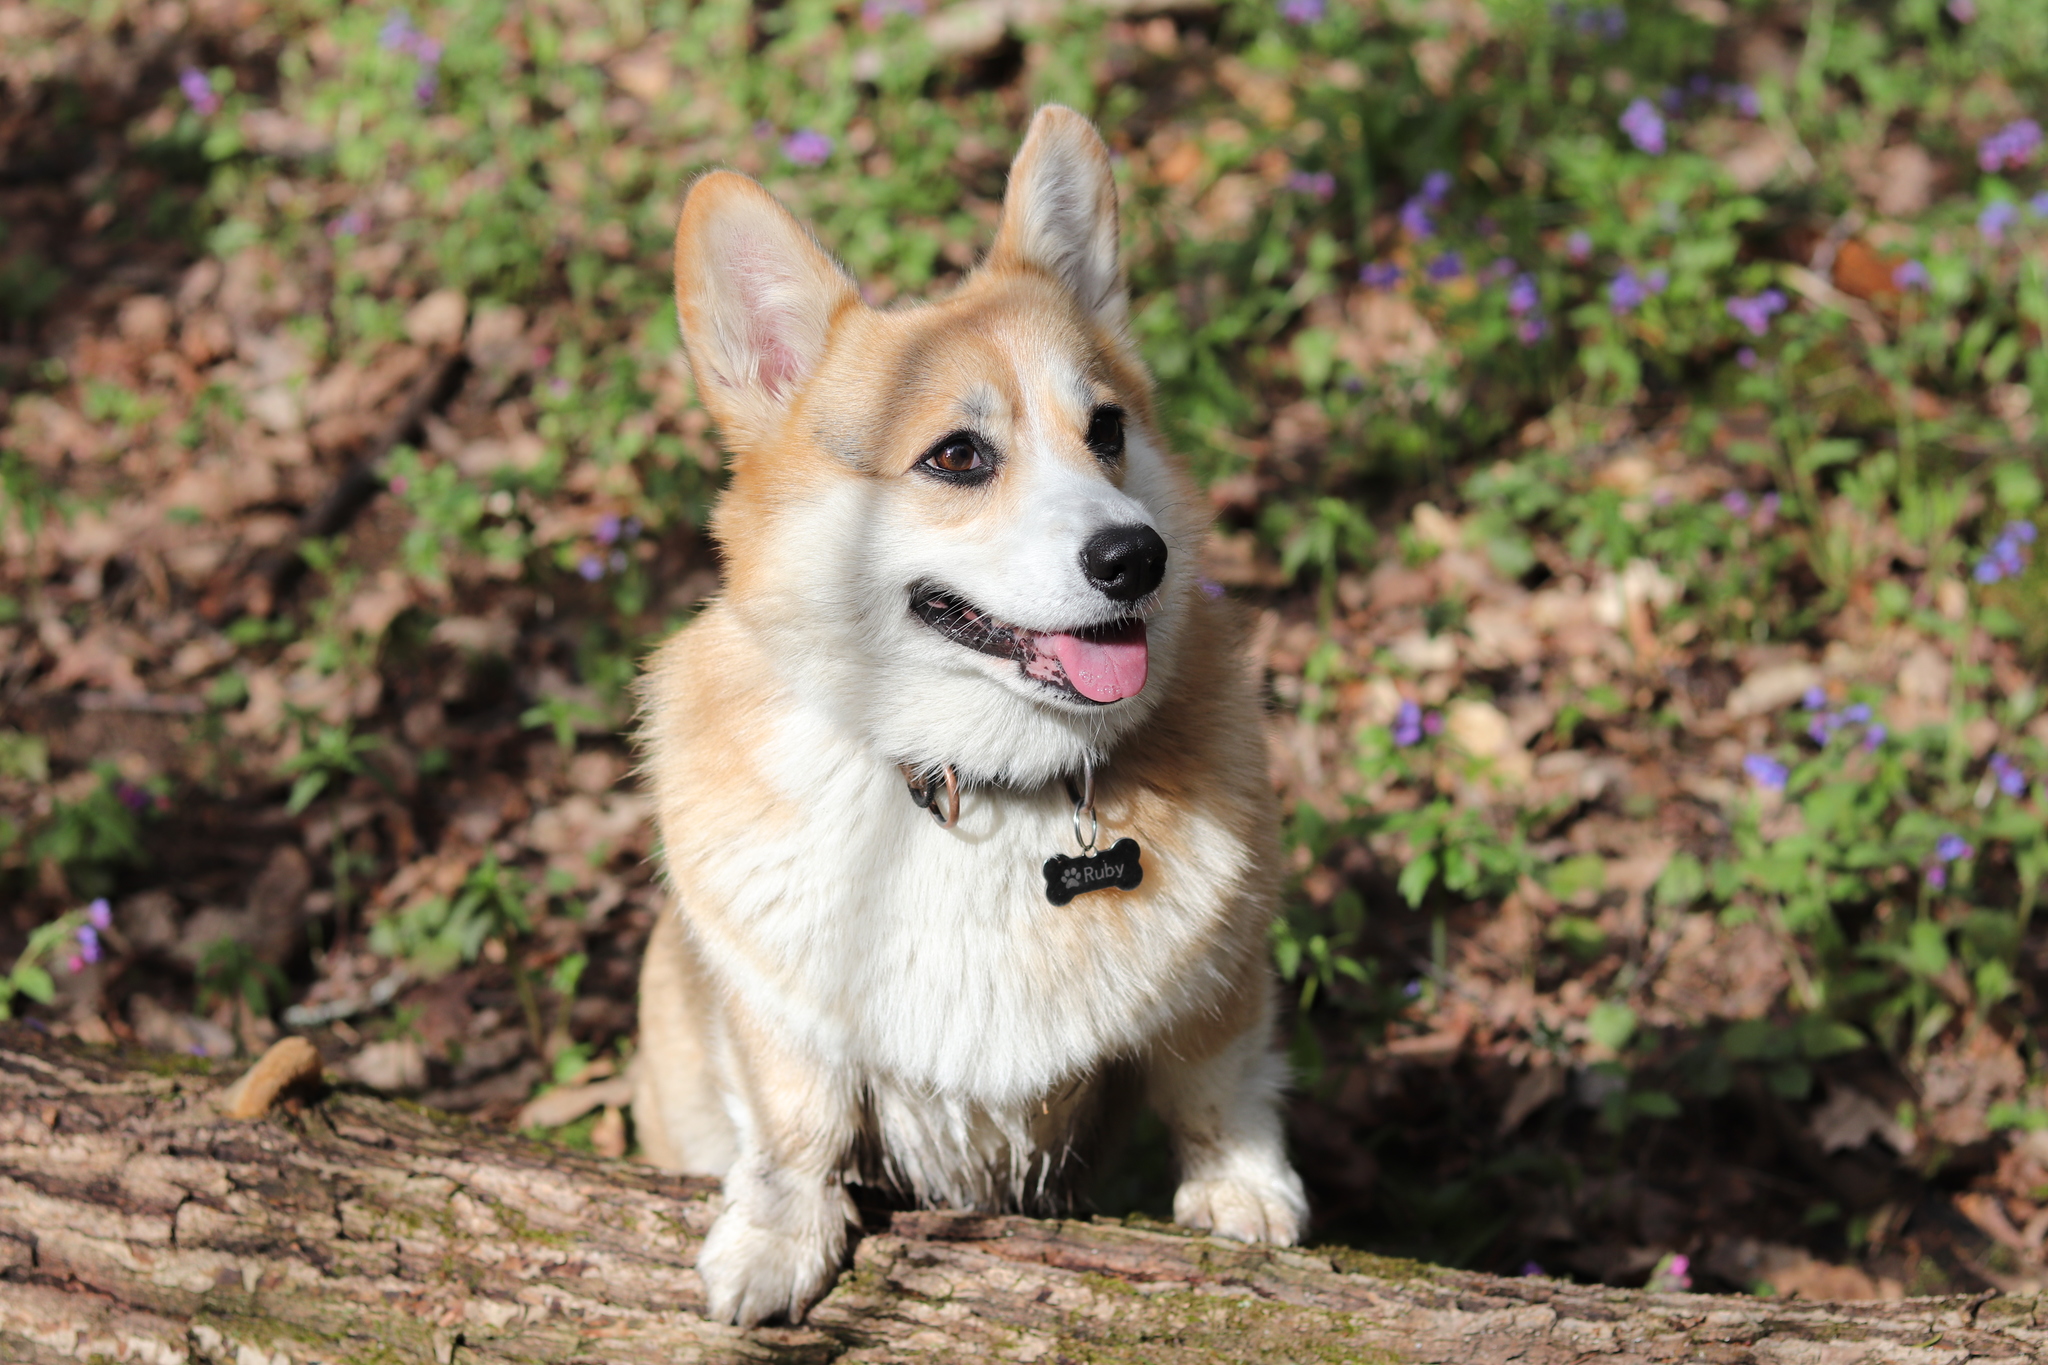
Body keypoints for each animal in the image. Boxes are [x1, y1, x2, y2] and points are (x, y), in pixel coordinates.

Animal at [638, 104, 1302, 1326]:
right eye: (956, 456)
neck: (976, 785)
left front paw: (1240, 1192)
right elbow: (799, 1116)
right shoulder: (777, 1012)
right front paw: (778, 1237)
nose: (1137, 557)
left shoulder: (1220, 976)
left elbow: (1215, 1081)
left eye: (1106, 429)